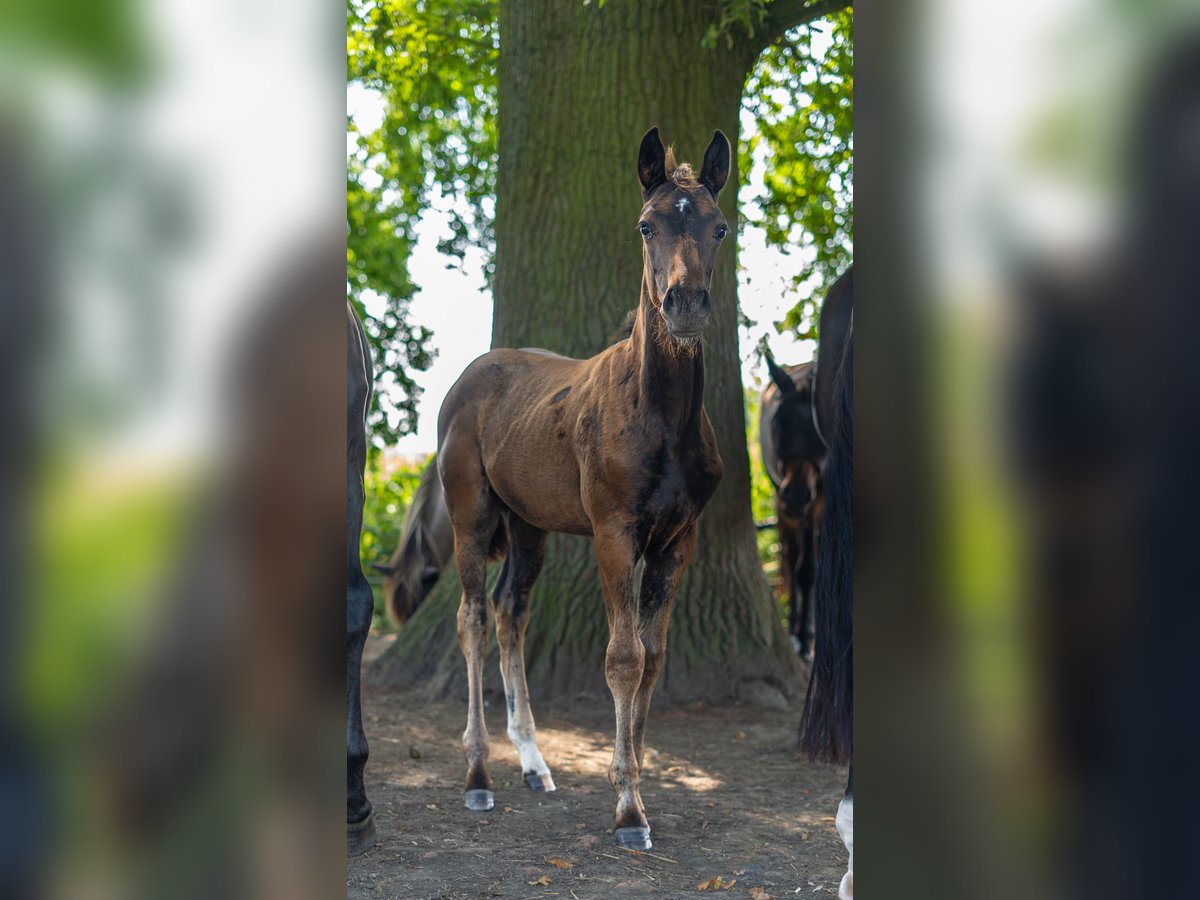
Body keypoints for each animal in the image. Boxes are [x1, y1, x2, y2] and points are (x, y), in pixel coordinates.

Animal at [436, 128, 724, 854]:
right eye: (646, 224)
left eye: (720, 227)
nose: (684, 306)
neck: (660, 414)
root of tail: (469, 378)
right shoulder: (614, 533)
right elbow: (622, 658)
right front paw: (628, 810)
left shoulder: (678, 540)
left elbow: (653, 658)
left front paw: (638, 782)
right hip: (471, 514)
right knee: (473, 618)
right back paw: (478, 774)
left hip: (528, 526)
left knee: (511, 613)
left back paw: (535, 765)